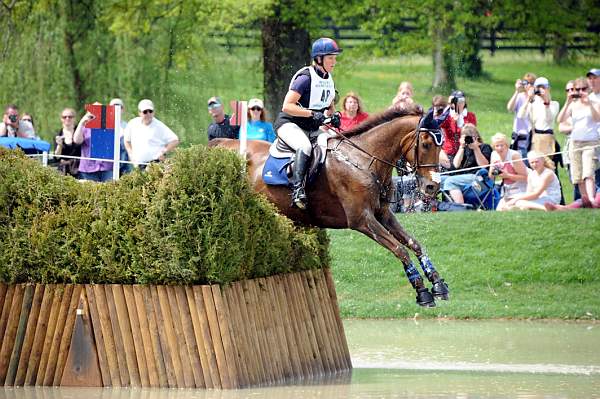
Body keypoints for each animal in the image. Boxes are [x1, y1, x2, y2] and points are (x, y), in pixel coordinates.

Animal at [209, 105, 448, 306]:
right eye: (425, 144)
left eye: (441, 146)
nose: (432, 187)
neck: (363, 161)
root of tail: (222, 144)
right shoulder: (362, 220)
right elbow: (400, 249)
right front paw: (422, 292)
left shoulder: (383, 214)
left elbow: (415, 244)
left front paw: (438, 285)